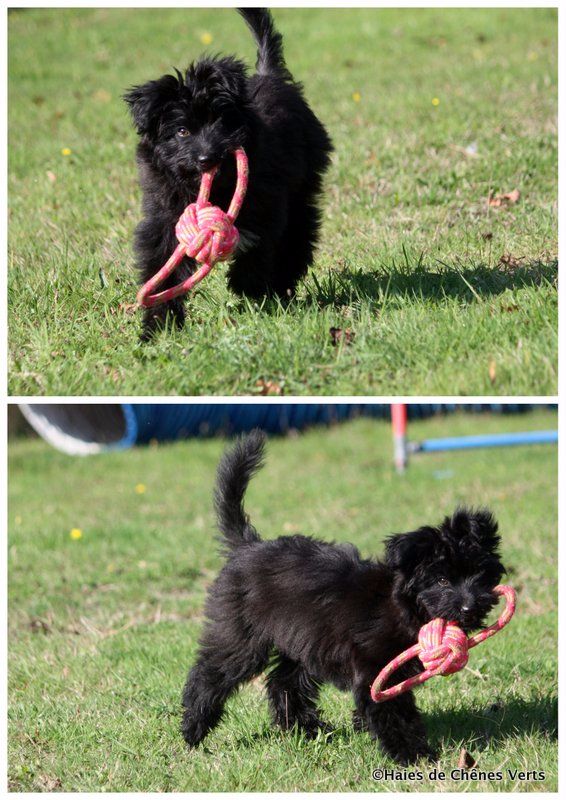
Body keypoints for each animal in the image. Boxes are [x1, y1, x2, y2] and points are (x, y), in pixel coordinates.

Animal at [125, 9, 332, 340]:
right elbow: (163, 268)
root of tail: (271, 75)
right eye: (182, 131)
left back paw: (282, 283)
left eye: (221, 122)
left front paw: (246, 283)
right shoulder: (163, 217)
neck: (216, 188)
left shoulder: (267, 200)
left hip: (304, 184)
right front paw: (158, 326)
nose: (208, 157)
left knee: (300, 231)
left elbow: (260, 241)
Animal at [182, 434, 506, 764]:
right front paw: (414, 754)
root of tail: (248, 547)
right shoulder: (375, 668)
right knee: (212, 673)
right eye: (442, 580)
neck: (403, 606)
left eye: (478, 574)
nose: (470, 606)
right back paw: (193, 729)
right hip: (244, 635)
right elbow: (394, 712)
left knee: (284, 683)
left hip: (303, 641)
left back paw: (306, 729)